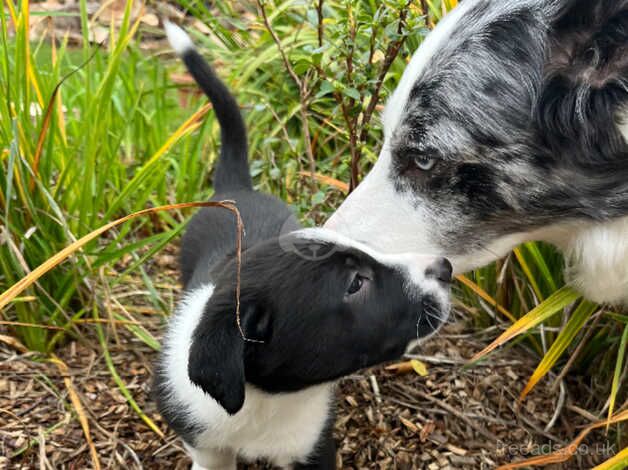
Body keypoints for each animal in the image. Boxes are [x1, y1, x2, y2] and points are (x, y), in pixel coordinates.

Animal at [156, 23, 452, 470]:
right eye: (355, 283)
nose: (445, 268)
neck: (269, 402)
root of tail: (235, 189)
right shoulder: (206, 446)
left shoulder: (313, 446)